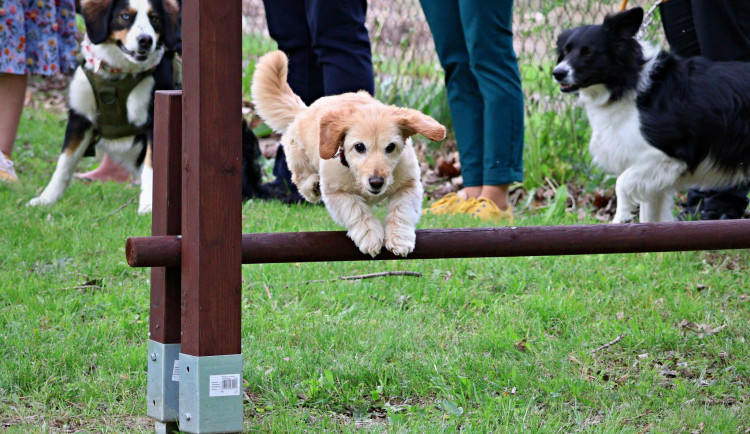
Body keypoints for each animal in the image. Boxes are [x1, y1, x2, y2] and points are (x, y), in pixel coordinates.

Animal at [250, 50, 450, 256]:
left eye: (391, 147)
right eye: (359, 147)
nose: (376, 182)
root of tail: (304, 110)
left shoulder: (410, 186)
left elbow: (402, 210)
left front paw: (399, 238)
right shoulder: (337, 194)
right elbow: (357, 211)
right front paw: (370, 236)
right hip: (297, 155)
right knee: (301, 180)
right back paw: (313, 186)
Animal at [556, 7, 750, 224]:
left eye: (588, 52)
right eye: (566, 51)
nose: (557, 73)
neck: (629, 83)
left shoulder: (666, 155)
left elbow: (621, 182)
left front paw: (620, 218)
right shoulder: (653, 172)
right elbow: (649, 215)